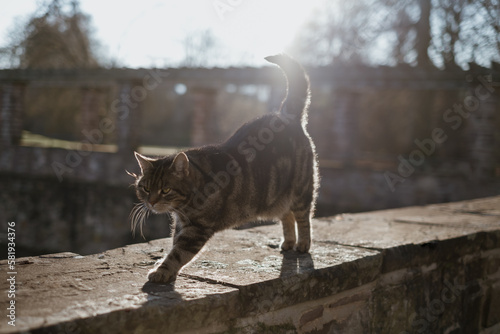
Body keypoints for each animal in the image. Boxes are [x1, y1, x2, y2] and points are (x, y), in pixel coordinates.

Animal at [131, 53, 318, 284]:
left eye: (165, 189)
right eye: (146, 188)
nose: (151, 202)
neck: (185, 203)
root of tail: (286, 115)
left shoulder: (196, 229)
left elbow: (178, 253)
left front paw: (162, 271)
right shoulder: (181, 225)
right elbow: (174, 246)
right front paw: (166, 270)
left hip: (301, 190)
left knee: (303, 217)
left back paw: (303, 244)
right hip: (277, 196)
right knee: (287, 216)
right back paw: (288, 242)